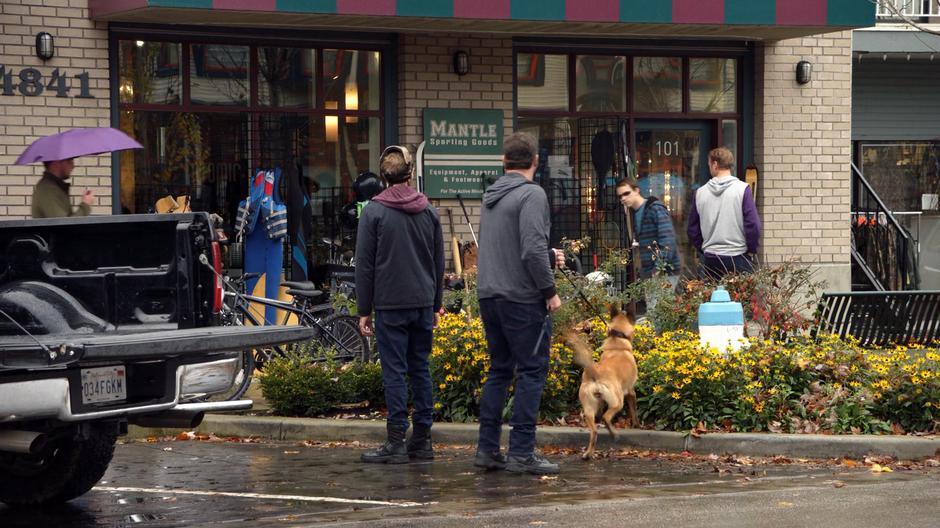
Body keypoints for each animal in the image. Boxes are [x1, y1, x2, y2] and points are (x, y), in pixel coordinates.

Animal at [564, 304, 640, 460]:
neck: (617, 341)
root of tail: (595, 373)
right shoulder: (630, 391)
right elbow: (633, 409)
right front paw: (636, 424)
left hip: (588, 408)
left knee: (594, 430)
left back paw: (588, 453)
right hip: (617, 401)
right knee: (606, 417)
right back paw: (614, 434)